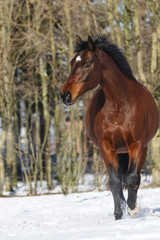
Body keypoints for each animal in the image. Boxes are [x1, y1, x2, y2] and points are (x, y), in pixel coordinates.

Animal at [60, 34, 159, 220]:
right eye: (71, 63)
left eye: (87, 63)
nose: (65, 94)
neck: (119, 104)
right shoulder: (106, 147)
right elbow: (114, 182)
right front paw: (118, 214)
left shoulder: (136, 145)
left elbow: (132, 178)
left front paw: (132, 208)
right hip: (119, 152)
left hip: (139, 149)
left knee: (135, 178)